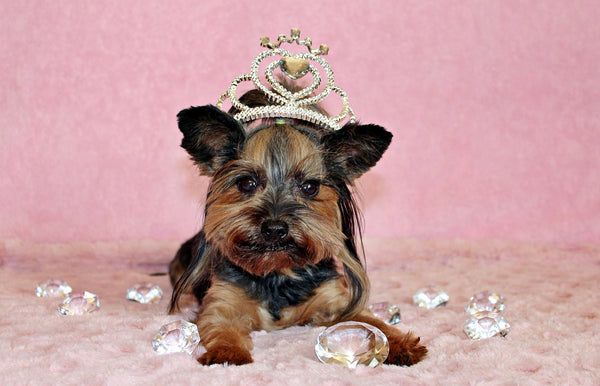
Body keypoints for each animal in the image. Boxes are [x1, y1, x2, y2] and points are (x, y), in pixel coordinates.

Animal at [166, 29, 426, 364]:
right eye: (246, 183)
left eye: (310, 187)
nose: (275, 228)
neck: (278, 272)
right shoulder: (223, 300)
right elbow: (220, 325)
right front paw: (227, 351)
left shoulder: (336, 298)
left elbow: (372, 321)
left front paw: (401, 343)